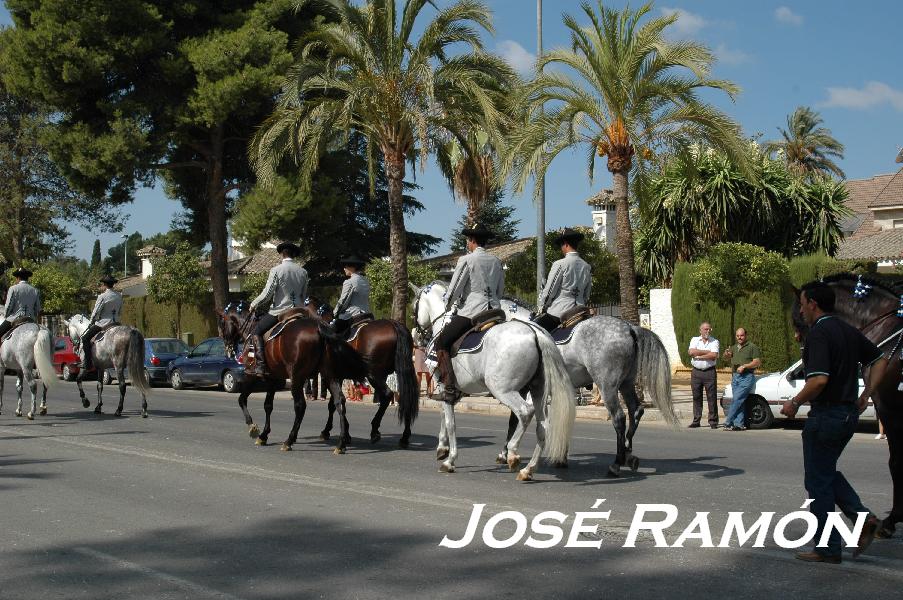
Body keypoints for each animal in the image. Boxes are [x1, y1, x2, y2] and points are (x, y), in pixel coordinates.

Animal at [217, 302, 370, 452]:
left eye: (222, 324)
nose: (227, 349)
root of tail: (318, 328)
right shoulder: (273, 379)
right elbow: (268, 405)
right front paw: (264, 435)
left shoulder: (251, 375)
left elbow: (242, 399)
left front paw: (253, 427)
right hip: (330, 375)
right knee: (339, 402)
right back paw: (341, 443)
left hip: (297, 377)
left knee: (300, 406)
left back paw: (289, 440)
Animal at [302, 296, 418, 450]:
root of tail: (393, 324)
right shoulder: (338, 377)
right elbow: (337, 403)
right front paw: (345, 433)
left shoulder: (331, 376)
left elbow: (333, 404)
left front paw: (330, 431)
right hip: (400, 372)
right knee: (406, 396)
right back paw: (404, 437)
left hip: (373, 374)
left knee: (388, 395)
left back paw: (375, 430)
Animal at [414, 282, 576, 482]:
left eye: (414, 306)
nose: (418, 336)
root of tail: (535, 333)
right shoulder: (453, 392)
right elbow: (445, 416)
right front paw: (442, 448)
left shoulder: (445, 386)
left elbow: (451, 422)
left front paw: (449, 459)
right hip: (538, 390)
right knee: (543, 425)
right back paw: (528, 469)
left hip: (503, 390)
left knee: (525, 412)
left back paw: (513, 454)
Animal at [488, 292, 680, 478]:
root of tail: (630, 328)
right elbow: (565, 415)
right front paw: (561, 458)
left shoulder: (523, 389)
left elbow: (514, 420)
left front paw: (505, 454)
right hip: (626, 383)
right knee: (636, 411)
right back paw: (629, 455)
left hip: (607, 385)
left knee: (619, 417)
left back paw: (616, 464)